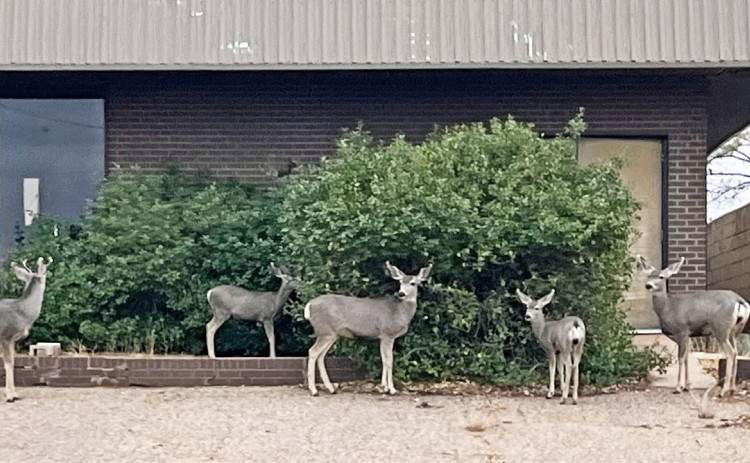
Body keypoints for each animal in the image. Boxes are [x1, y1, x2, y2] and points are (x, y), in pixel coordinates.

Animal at [1, 257, 52, 402]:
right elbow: (8, 363)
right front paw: (10, 396)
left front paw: (14, 394)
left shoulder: (12, 340)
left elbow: (13, 362)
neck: (22, 315)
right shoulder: (5, 336)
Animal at [304, 261, 432, 396]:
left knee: (321, 355)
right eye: (401, 282)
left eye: (413, 283)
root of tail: (309, 305)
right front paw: (391, 389)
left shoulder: (382, 336)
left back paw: (330, 388)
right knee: (313, 352)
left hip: (331, 334)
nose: (401, 293)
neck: (399, 312)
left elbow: (383, 359)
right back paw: (314, 390)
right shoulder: (387, 333)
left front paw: (384, 387)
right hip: (325, 331)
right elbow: (389, 361)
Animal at [636, 255, 749, 397]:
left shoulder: (682, 330)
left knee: (730, 353)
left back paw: (723, 391)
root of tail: (739, 300)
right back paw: (732, 389)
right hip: (734, 331)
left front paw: (678, 387)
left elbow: (680, 358)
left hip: (721, 328)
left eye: (661, 277)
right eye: (649, 276)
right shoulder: (687, 335)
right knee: (736, 353)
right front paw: (687, 386)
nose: (648, 285)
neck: (668, 307)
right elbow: (686, 358)